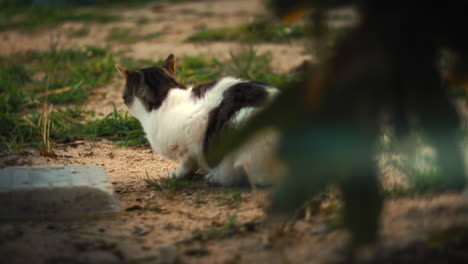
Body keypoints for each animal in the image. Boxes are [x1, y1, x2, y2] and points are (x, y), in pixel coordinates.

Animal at [114, 53, 280, 186]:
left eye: (123, 97)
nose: (122, 99)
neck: (165, 96)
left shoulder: (189, 143)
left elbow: (187, 165)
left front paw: (176, 175)